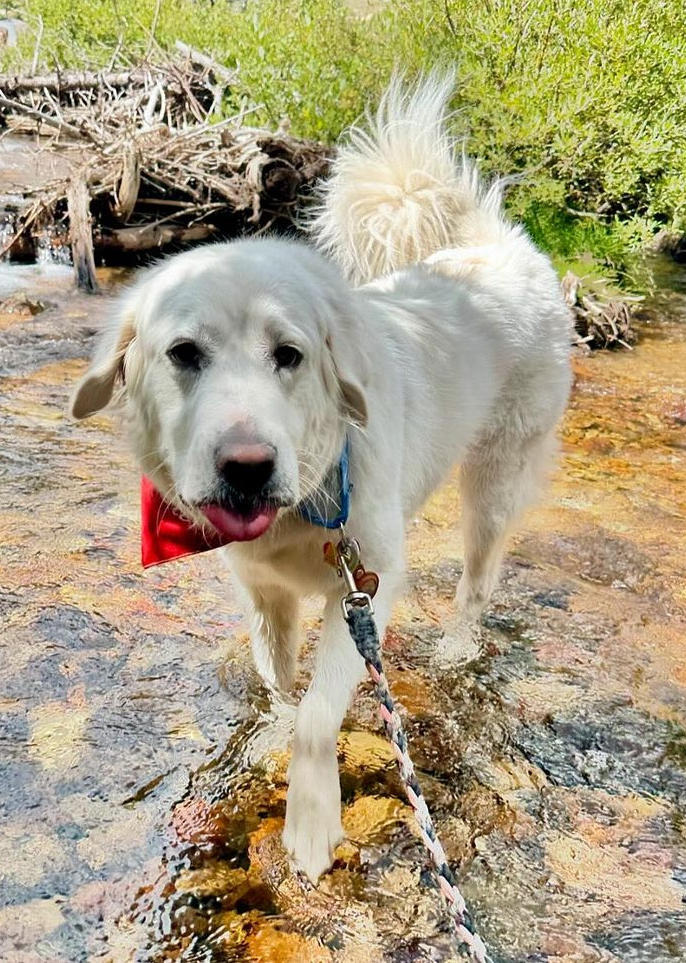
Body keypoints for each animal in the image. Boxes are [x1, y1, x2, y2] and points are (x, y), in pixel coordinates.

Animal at [71, 73, 576, 888]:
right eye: (183, 353)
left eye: (290, 354)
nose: (247, 468)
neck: (302, 503)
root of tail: (499, 246)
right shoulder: (263, 591)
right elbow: (278, 683)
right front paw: (265, 740)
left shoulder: (365, 585)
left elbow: (316, 712)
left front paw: (309, 823)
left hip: (495, 476)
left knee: (478, 578)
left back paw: (457, 646)